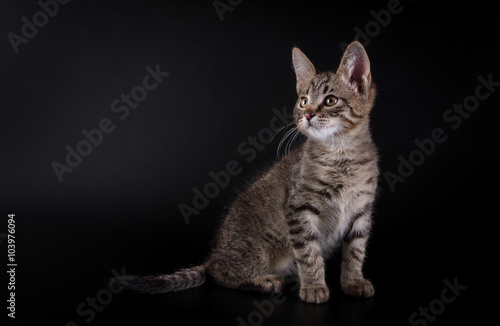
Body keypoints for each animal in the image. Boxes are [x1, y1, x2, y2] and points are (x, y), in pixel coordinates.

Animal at [115, 40, 376, 304]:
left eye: (330, 100)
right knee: (220, 273)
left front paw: (353, 282)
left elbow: (356, 251)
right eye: (303, 101)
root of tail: (213, 255)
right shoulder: (299, 210)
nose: (308, 114)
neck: (341, 154)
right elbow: (309, 252)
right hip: (260, 249)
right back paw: (264, 281)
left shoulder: (362, 211)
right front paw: (313, 286)